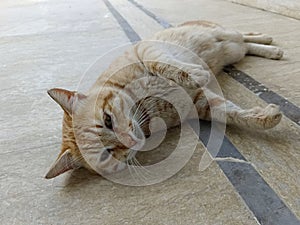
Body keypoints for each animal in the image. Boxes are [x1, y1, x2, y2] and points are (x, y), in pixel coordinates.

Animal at [44, 21, 282, 179]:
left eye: (108, 120)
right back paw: (268, 48)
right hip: (235, 51)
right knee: (245, 44)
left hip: (223, 34)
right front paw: (264, 116)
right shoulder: (199, 103)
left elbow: (164, 64)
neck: (148, 108)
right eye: (107, 153)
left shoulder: (146, 49)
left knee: (243, 34)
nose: (130, 142)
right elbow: (231, 112)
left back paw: (268, 43)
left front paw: (196, 74)